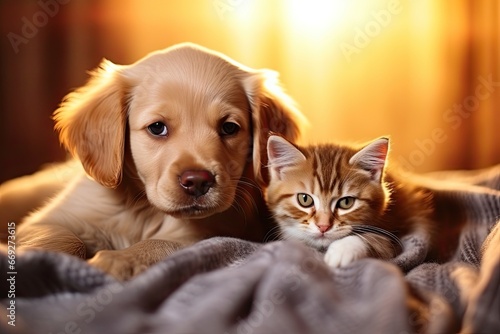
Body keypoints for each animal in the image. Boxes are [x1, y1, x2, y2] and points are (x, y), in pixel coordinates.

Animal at [14, 43, 304, 280]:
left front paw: (119, 260)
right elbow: (60, 237)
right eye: (157, 128)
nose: (197, 182)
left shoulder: (207, 234)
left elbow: (160, 244)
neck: (143, 209)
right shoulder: (49, 220)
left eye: (229, 128)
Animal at [266, 134, 434, 270]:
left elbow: (374, 239)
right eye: (305, 199)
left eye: (346, 202)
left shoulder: (396, 236)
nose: (323, 226)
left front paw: (342, 250)